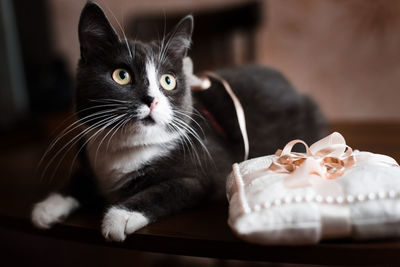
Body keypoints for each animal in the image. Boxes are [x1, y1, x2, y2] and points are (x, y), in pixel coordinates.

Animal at [30, 1, 324, 242]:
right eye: (121, 75)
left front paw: (120, 216)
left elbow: (169, 189)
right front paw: (48, 207)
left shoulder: (207, 171)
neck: (126, 148)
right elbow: (80, 178)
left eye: (168, 80)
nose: (152, 100)